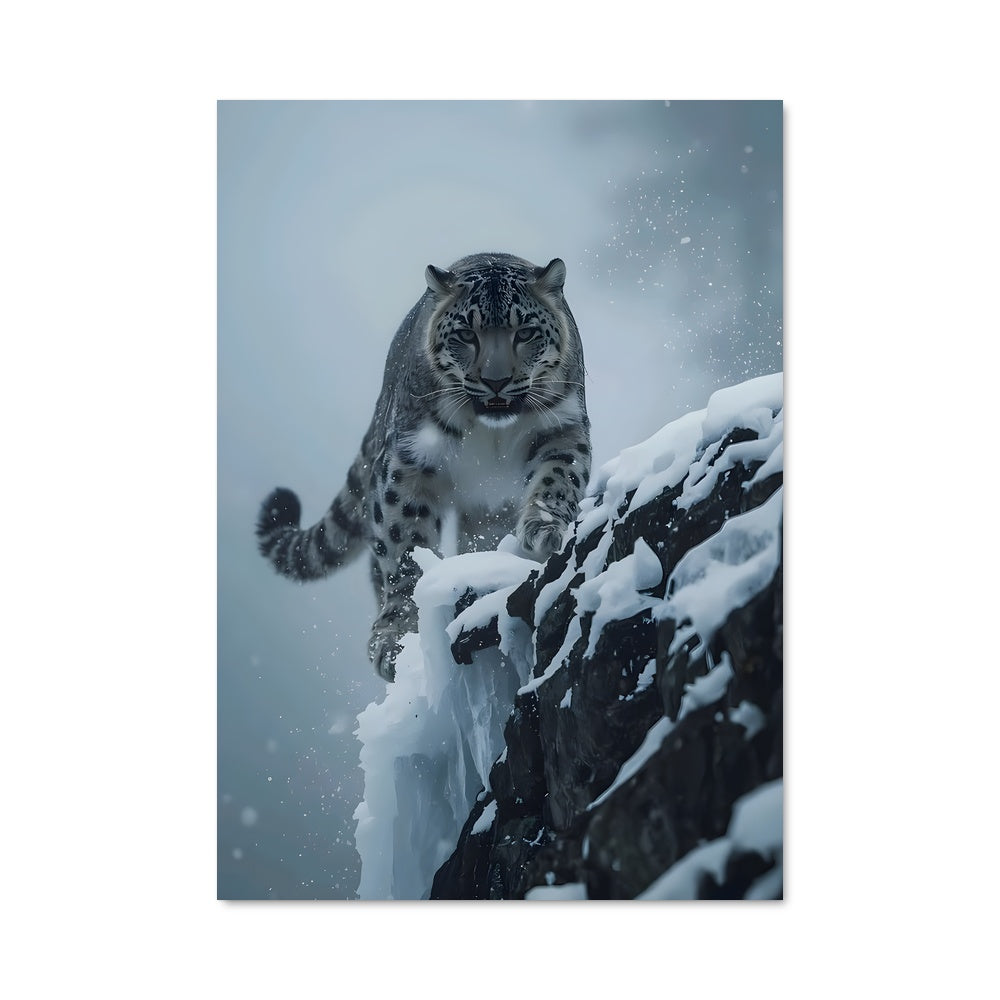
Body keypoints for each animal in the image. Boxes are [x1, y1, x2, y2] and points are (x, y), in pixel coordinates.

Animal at [256, 252, 591, 681]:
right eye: (466, 334)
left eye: (526, 332)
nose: (496, 381)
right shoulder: (409, 460)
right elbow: (405, 550)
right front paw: (396, 639)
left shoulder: (562, 429)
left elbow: (559, 477)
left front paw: (543, 530)